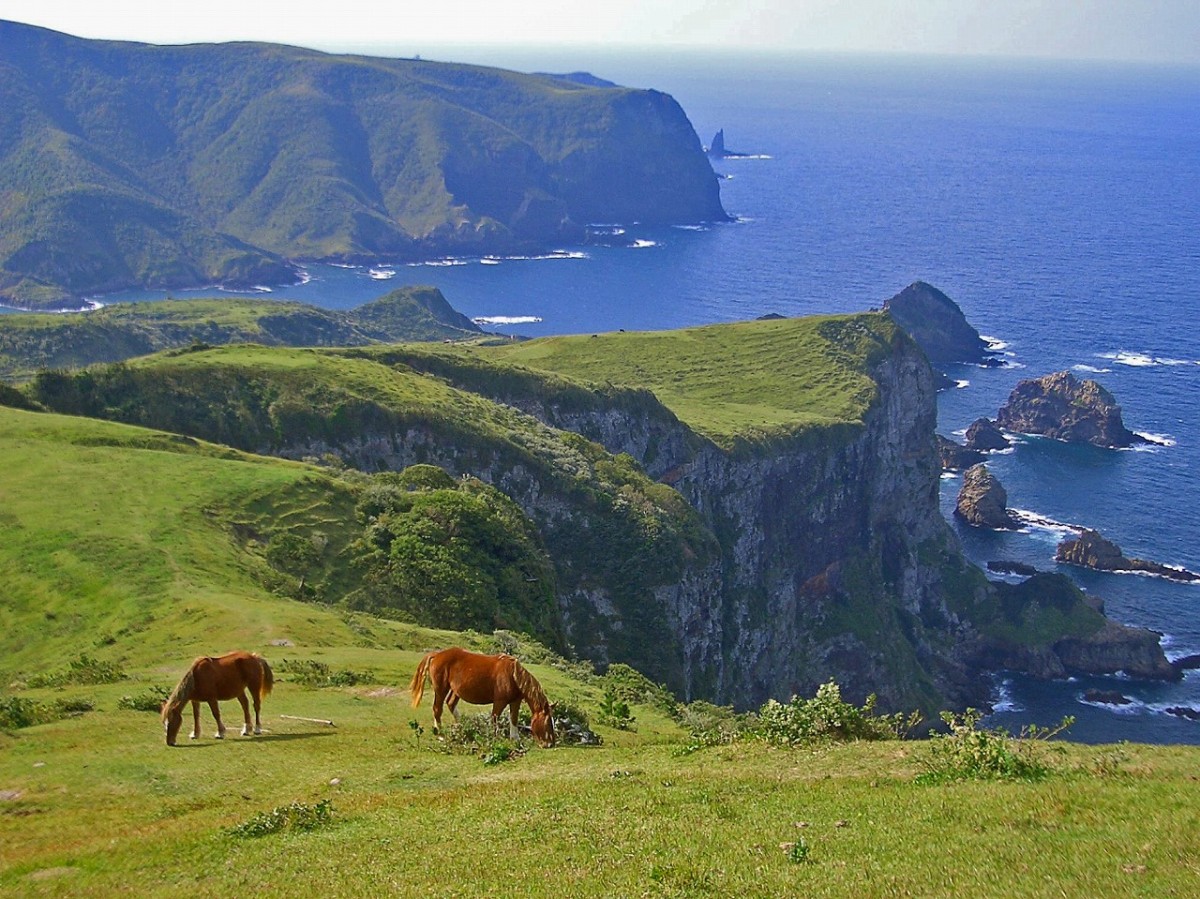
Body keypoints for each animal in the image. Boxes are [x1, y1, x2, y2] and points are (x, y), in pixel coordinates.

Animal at [408, 643, 556, 748]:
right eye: (548, 722)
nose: (550, 744)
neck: (513, 675)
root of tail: (436, 655)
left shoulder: (515, 701)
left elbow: (513, 719)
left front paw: (515, 739)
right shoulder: (499, 701)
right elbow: (494, 718)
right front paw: (495, 738)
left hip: (455, 690)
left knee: (450, 703)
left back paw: (462, 727)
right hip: (440, 689)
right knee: (437, 709)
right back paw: (440, 734)